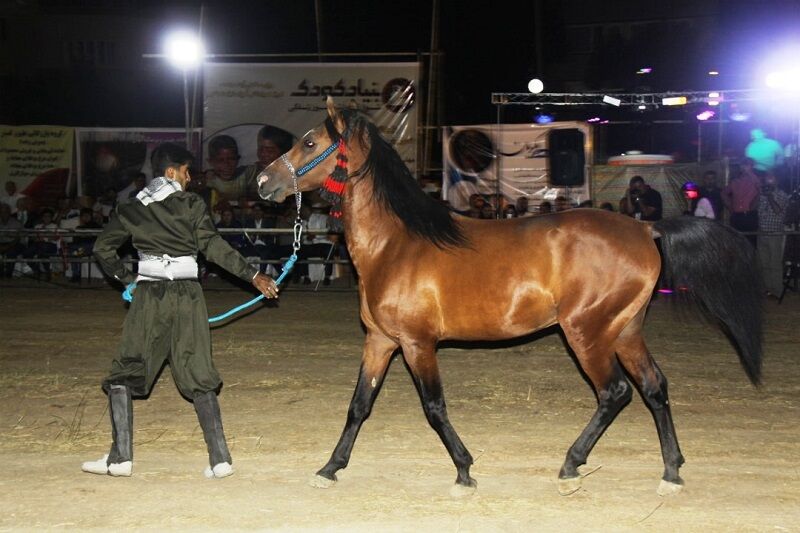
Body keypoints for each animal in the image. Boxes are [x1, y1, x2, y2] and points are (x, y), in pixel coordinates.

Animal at [258, 97, 764, 496]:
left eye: (309, 143)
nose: (264, 182)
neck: (396, 243)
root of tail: (644, 227)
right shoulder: (380, 341)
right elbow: (358, 406)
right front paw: (330, 468)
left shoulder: (417, 344)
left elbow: (434, 408)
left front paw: (464, 471)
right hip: (625, 331)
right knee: (654, 388)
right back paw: (671, 472)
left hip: (587, 333)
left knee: (615, 392)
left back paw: (571, 463)